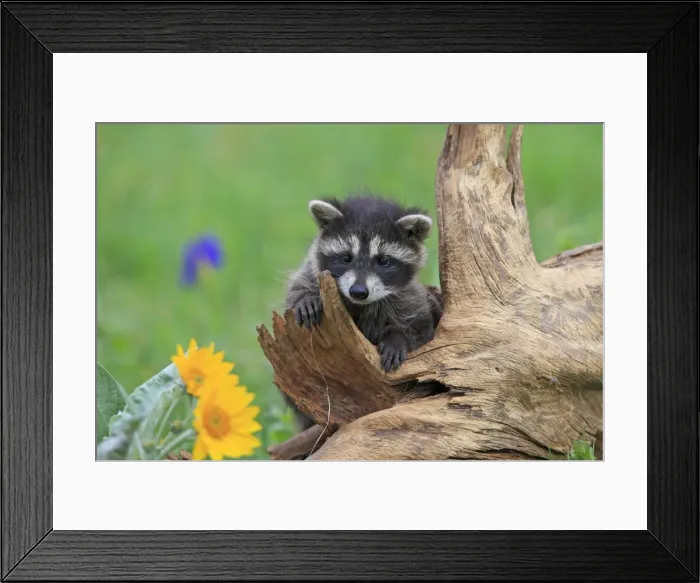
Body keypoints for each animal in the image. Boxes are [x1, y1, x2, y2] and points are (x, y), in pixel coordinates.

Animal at [282, 193, 443, 431]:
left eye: (383, 261)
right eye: (346, 258)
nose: (358, 291)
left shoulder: (410, 299)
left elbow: (420, 331)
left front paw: (398, 339)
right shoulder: (311, 272)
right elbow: (297, 289)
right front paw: (306, 298)